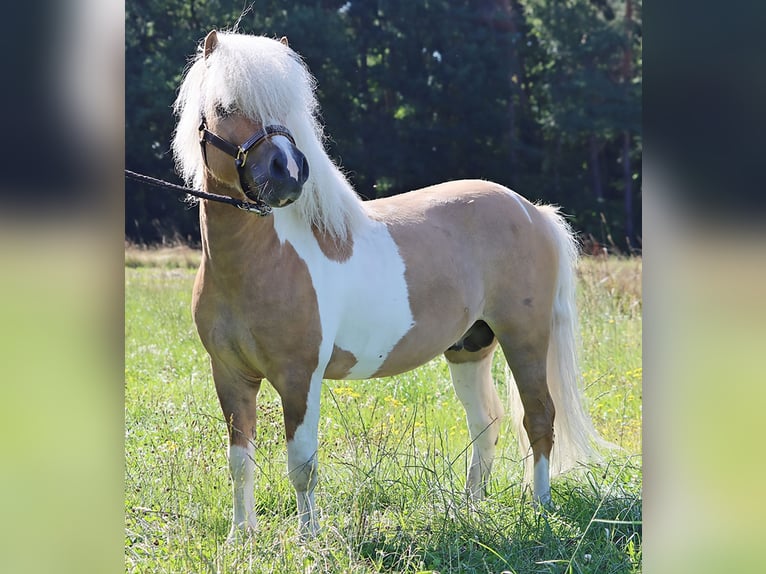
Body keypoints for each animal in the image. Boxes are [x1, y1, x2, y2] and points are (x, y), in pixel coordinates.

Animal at [174, 31, 612, 544]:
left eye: (290, 108)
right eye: (225, 105)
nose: (288, 172)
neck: (257, 262)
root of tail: (532, 211)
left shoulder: (298, 377)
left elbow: (301, 464)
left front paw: (308, 540)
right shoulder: (230, 375)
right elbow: (240, 461)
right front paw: (241, 536)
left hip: (524, 337)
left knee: (539, 417)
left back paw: (540, 508)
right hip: (470, 346)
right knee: (486, 422)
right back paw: (469, 510)